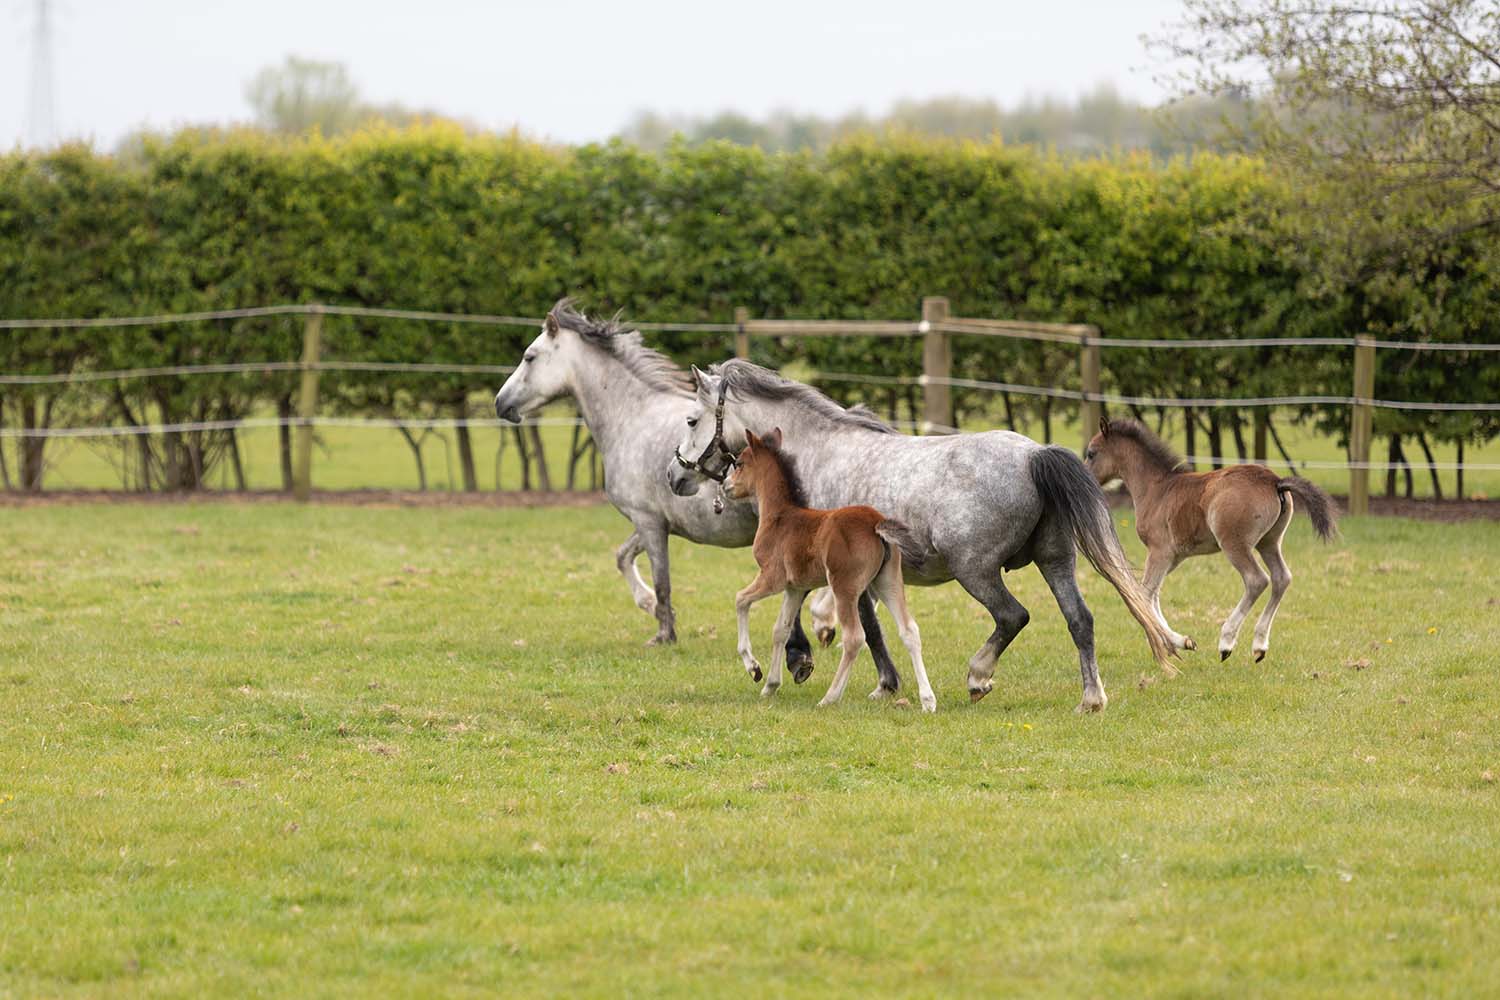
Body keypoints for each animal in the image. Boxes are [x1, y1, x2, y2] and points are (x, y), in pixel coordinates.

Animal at [492, 300, 902, 692]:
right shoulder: (655, 523)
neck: (631, 417)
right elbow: (623, 557)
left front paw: (663, 632)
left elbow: (661, 579)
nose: (500, 403)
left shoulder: (648, 522)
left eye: (529, 357)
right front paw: (649, 607)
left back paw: (821, 627)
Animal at [725, 428, 936, 712]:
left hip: (844, 586)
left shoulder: (772, 578)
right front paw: (770, 686)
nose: (725, 486)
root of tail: (876, 523)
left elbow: (740, 600)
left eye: (739, 463)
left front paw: (753, 668)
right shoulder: (795, 588)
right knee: (909, 631)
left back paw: (830, 697)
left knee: (854, 637)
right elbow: (780, 630)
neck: (780, 517)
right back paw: (928, 701)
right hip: (888, 581)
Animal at [1083, 417, 1337, 662]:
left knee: (1257, 580)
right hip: (1269, 543)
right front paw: (1178, 643)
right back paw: (1259, 646)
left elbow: (1144, 594)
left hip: (1234, 544)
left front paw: (1171, 643)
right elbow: (1153, 594)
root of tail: (1275, 482)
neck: (1157, 489)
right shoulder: (1174, 557)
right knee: (1281, 578)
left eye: (1092, 453)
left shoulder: (1159, 551)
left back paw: (1226, 642)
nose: (1086, 479)